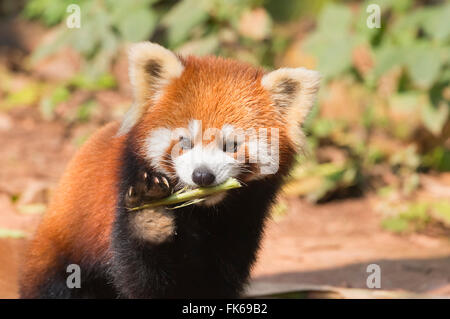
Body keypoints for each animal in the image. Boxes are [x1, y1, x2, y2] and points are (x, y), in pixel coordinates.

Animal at [18, 42, 320, 300]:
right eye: (184, 142)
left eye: (231, 145)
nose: (202, 175)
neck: (203, 213)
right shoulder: (123, 193)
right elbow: (142, 276)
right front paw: (150, 219)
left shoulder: (243, 221)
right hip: (62, 256)